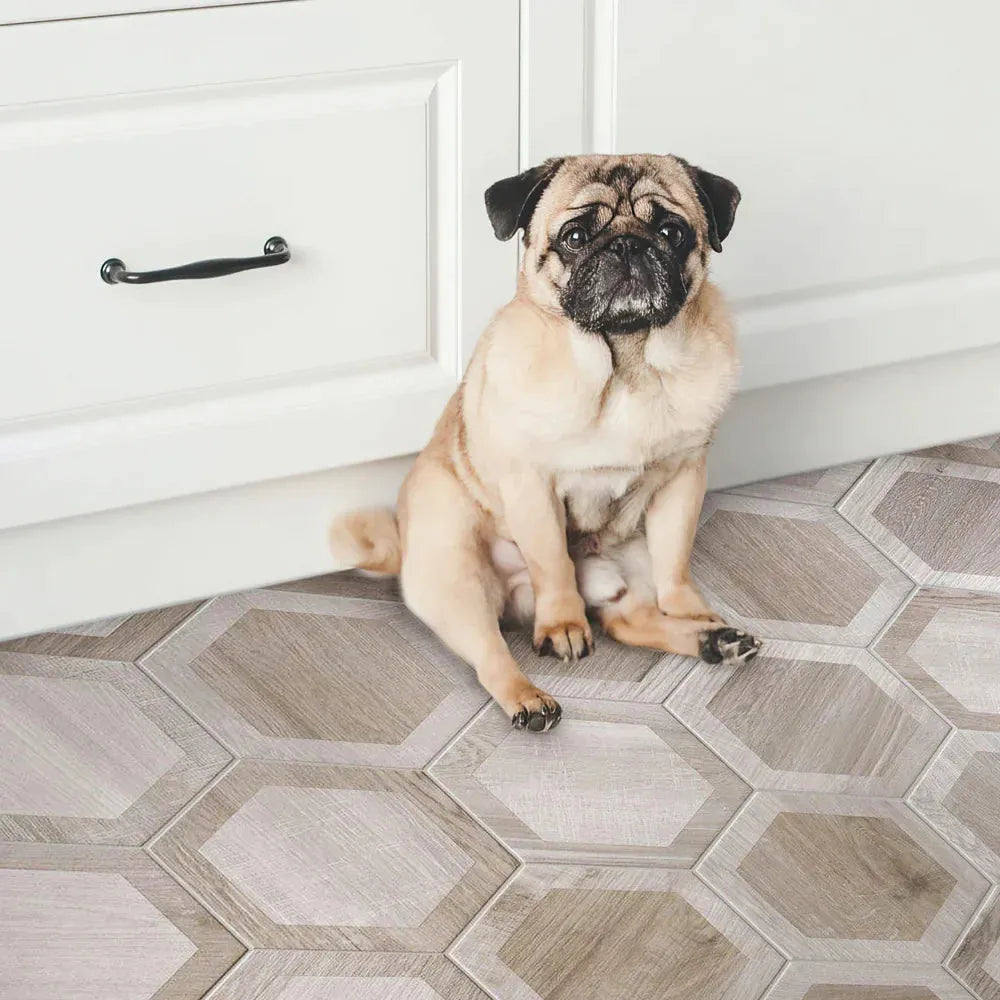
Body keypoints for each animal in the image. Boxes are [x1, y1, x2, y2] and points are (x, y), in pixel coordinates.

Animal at [331, 153, 762, 732]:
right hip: (457, 578)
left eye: (672, 232)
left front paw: (691, 609)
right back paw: (529, 698)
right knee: (492, 654)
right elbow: (553, 561)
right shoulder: (532, 487)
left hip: (632, 562)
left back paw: (713, 639)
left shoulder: (684, 479)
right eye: (576, 236)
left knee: (630, 619)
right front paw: (562, 626)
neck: (626, 362)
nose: (628, 246)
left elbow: (676, 560)